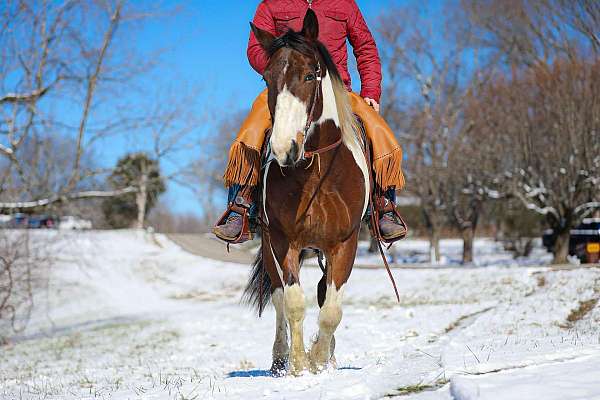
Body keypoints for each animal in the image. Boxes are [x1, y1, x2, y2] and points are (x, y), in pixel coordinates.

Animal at [241, 9, 368, 376]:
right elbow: (294, 302)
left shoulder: (345, 243)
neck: (316, 174)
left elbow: (332, 309)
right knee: (279, 299)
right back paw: (279, 360)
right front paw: (299, 364)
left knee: (324, 294)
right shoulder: (284, 242)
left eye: (311, 75)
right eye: (267, 79)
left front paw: (321, 360)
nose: (284, 148)